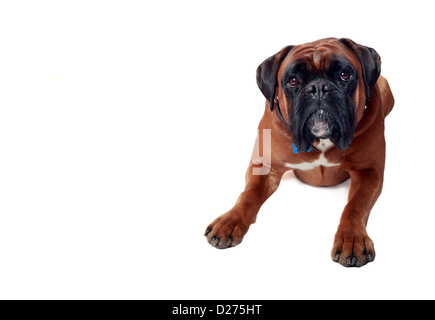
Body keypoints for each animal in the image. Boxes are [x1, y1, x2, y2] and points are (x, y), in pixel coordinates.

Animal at [204, 38, 396, 268]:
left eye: (344, 75)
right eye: (293, 81)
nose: (319, 88)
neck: (320, 141)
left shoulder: (368, 171)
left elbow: (354, 206)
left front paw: (352, 238)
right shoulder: (264, 167)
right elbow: (248, 195)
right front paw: (229, 221)